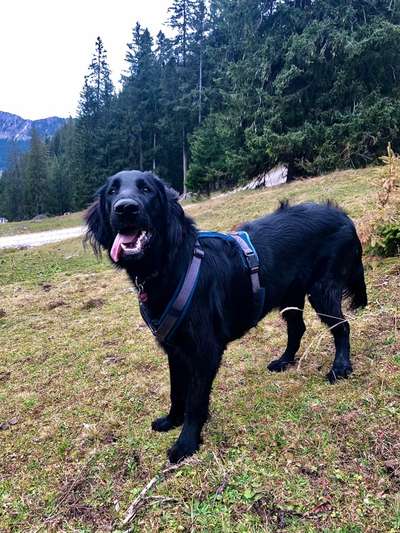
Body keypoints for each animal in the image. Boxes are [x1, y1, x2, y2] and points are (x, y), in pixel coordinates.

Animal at [86, 170, 368, 462]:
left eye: (146, 189)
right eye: (112, 192)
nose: (125, 208)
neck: (172, 265)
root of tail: (343, 216)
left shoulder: (205, 350)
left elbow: (195, 400)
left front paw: (186, 443)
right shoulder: (175, 348)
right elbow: (177, 390)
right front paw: (171, 420)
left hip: (323, 289)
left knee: (342, 326)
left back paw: (340, 368)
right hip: (290, 295)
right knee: (297, 328)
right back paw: (284, 361)